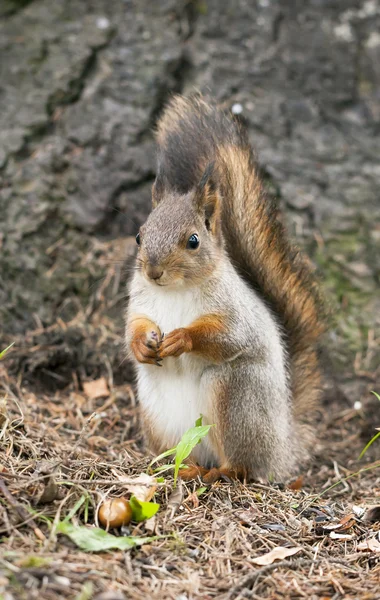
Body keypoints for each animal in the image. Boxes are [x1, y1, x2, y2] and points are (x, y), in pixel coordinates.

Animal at [125, 96, 324, 486]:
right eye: (139, 236)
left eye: (193, 240)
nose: (153, 271)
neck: (175, 290)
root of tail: (282, 448)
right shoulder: (140, 303)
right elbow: (133, 328)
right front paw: (143, 345)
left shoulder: (234, 312)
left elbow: (229, 336)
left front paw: (182, 338)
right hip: (158, 416)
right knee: (181, 455)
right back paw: (179, 467)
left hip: (233, 397)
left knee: (244, 465)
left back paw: (221, 471)